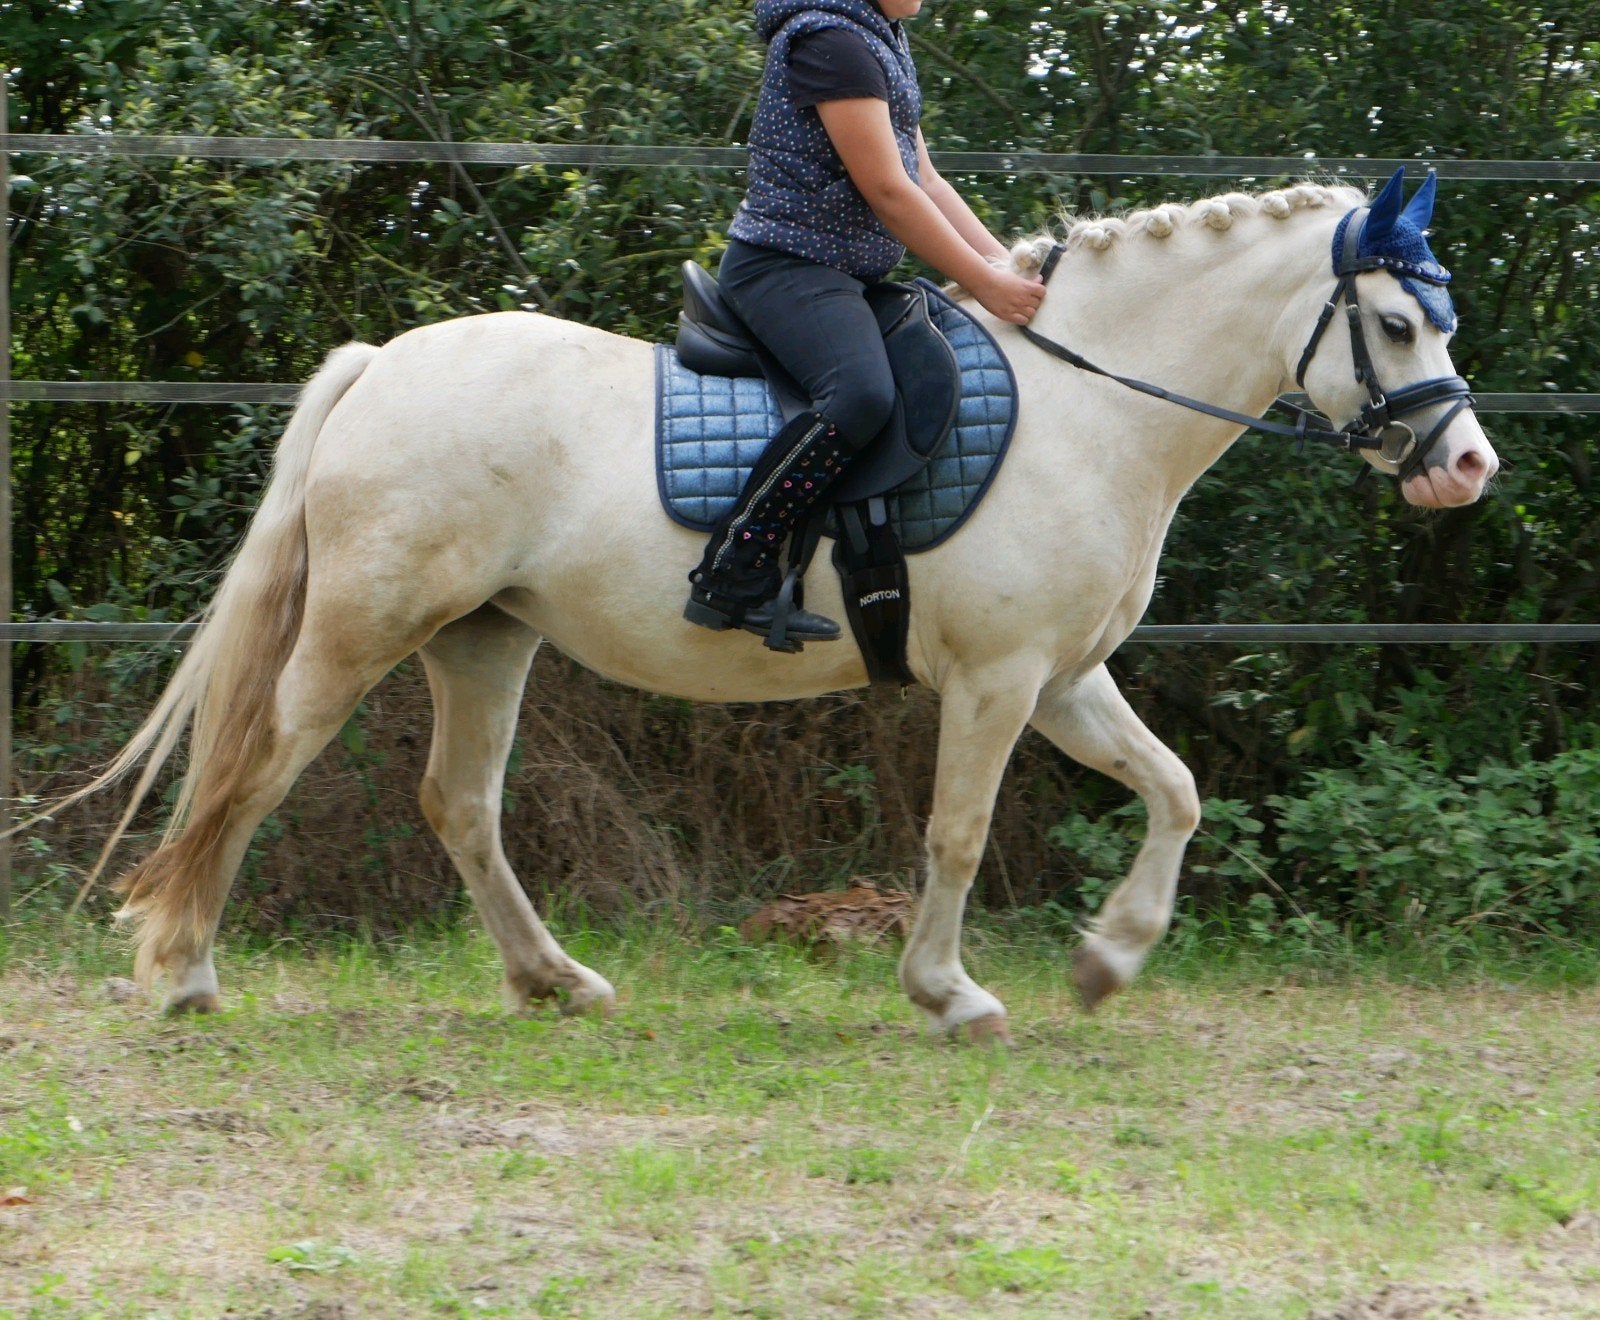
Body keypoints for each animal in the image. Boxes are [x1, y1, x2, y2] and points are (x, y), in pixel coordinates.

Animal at [60, 175, 1498, 1040]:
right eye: (1393, 321)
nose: (1468, 467)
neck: (1090, 408)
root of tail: (382, 363)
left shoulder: (1063, 679)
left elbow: (1177, 791)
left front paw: (1108, 960)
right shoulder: (997, 679)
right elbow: (958, 834)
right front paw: (950, 993)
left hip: (484, 638)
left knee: (458, 806)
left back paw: (554, 980)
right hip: (366, 626)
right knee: (251, 767)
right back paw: (186, 972)